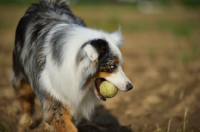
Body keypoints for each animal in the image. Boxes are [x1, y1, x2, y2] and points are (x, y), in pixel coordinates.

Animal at [11, 0, 133, 131]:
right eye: (112, 66)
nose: (130, 86)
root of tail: (46, 3)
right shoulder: (54, 96)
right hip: (21, 73)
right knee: (25, 97)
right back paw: (26, 122)